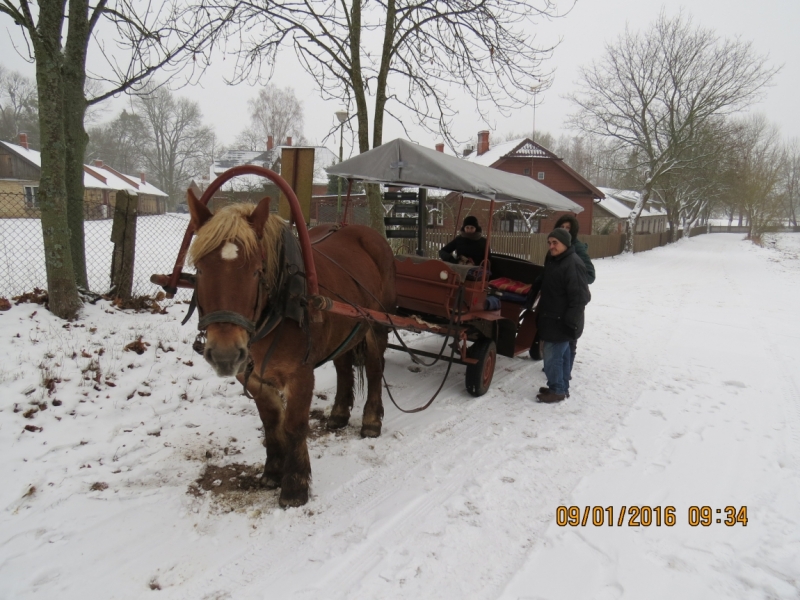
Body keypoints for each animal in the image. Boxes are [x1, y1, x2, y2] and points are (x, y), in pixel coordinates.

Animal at [188, 192, 400, 506]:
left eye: (257, 271)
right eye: (200, 269)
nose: (225, 355)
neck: (281, 303)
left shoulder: (300, 375)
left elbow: (294, 426)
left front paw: (295, 486)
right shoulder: (254, 378)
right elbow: (271, 422)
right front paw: (273, 472)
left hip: (376, 325)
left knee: (375, 368)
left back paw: (372, 420)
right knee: (342, 366)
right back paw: (339, 414)